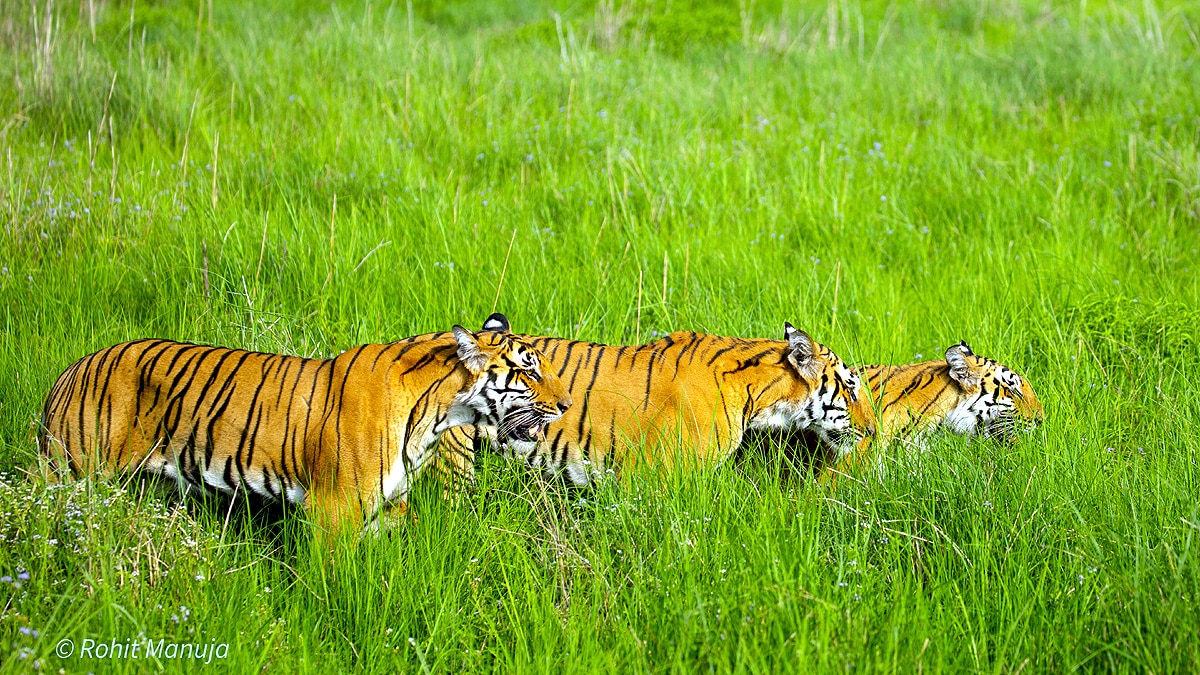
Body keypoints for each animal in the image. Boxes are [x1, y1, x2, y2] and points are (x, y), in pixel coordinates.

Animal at [37, 315, 571, 537]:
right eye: (529, 371)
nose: (566, 405)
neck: (438, 414)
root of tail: (68, 371)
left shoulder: (387, 506)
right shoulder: (333, 508)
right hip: (74, 475)